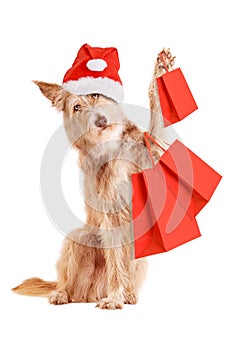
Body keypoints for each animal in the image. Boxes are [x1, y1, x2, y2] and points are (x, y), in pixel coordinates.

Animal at [11, 47, 174, 308]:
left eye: (96, 95)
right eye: (77, 107)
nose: (100, 121)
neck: (113, 145)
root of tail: (91, 292)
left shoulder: (153, 155)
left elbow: (157, 117)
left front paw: (160, 68)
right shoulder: (112, 215)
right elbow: (116, 263)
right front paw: (114, 297)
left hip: (141, 254)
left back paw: (129, 294)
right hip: (78, 239)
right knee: (66, 282)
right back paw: (63, 294)